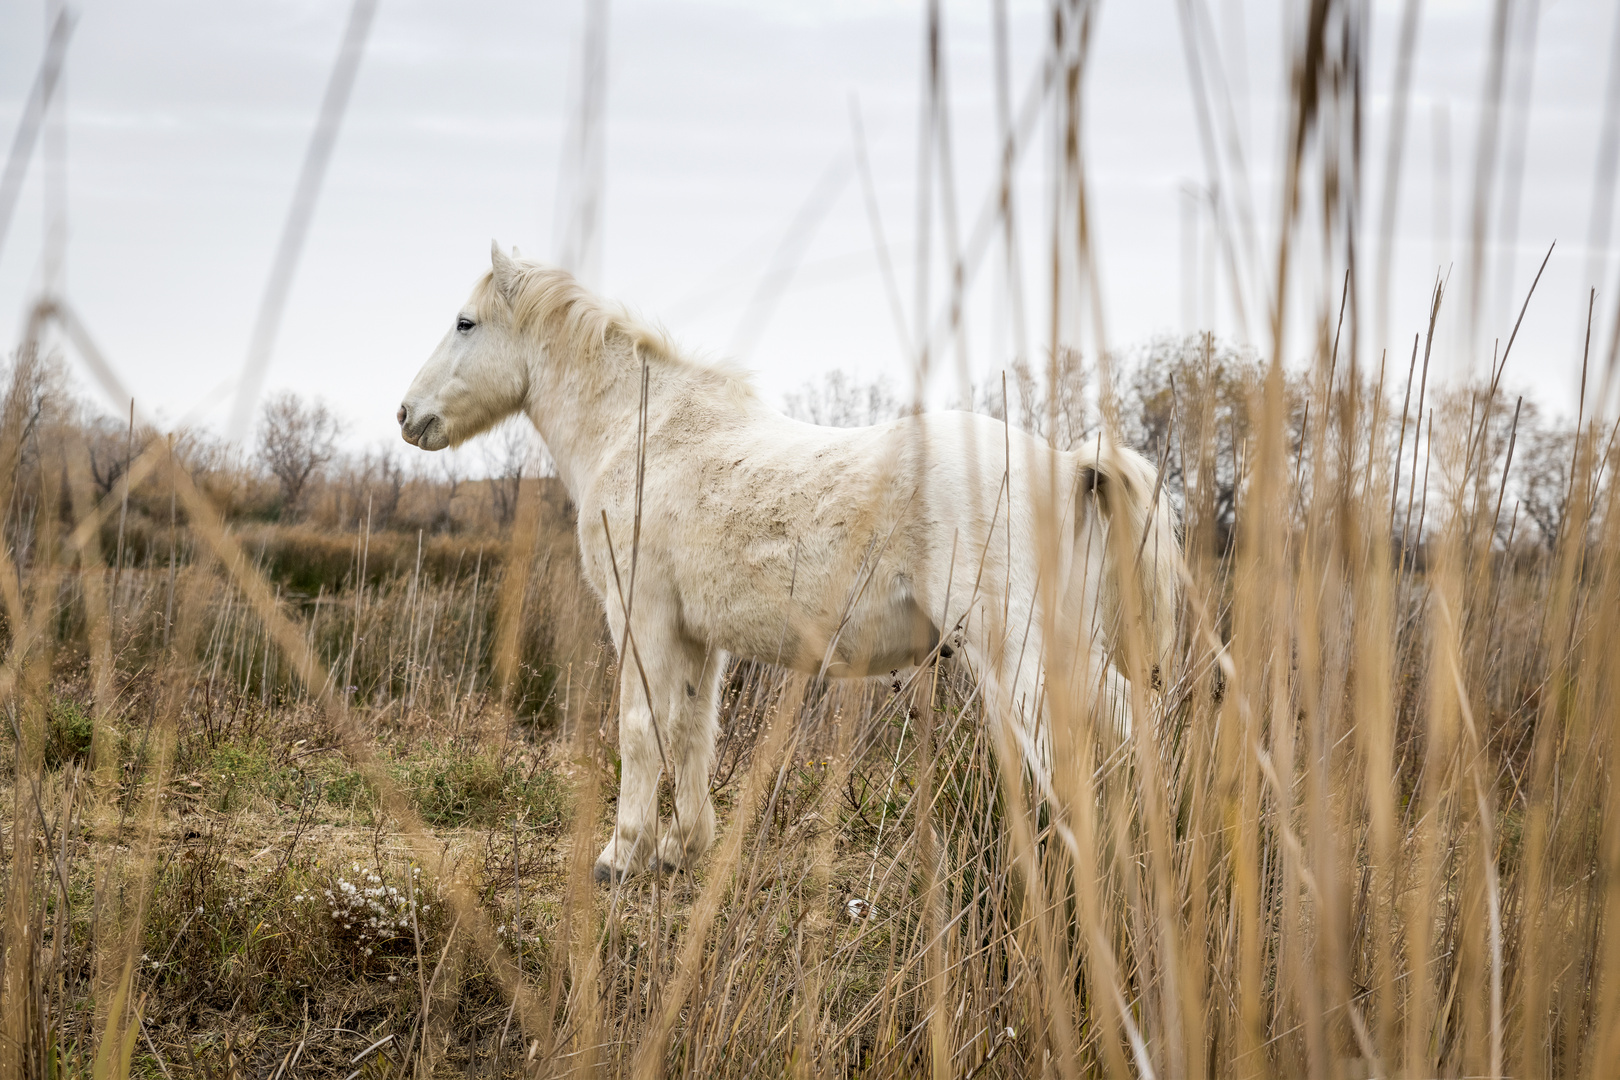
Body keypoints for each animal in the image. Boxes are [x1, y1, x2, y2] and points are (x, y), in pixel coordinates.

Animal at [396, 247, 1172, 887]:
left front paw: (621, 856)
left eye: (465, 323)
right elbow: (691, 729)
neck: (642, 434)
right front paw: (681, 849)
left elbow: (641, 728)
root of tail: (1068, 465)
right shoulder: (695, 638)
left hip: (1019, 652)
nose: (407, 414)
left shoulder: (640, 616)